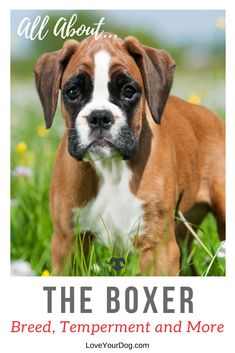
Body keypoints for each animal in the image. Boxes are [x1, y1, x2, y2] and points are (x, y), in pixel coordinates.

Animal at [34, 32, 225, 276]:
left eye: (128, 91)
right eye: (73, 92)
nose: (100, 116)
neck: (111, 168)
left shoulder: (158, 249)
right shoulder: (67, 243)